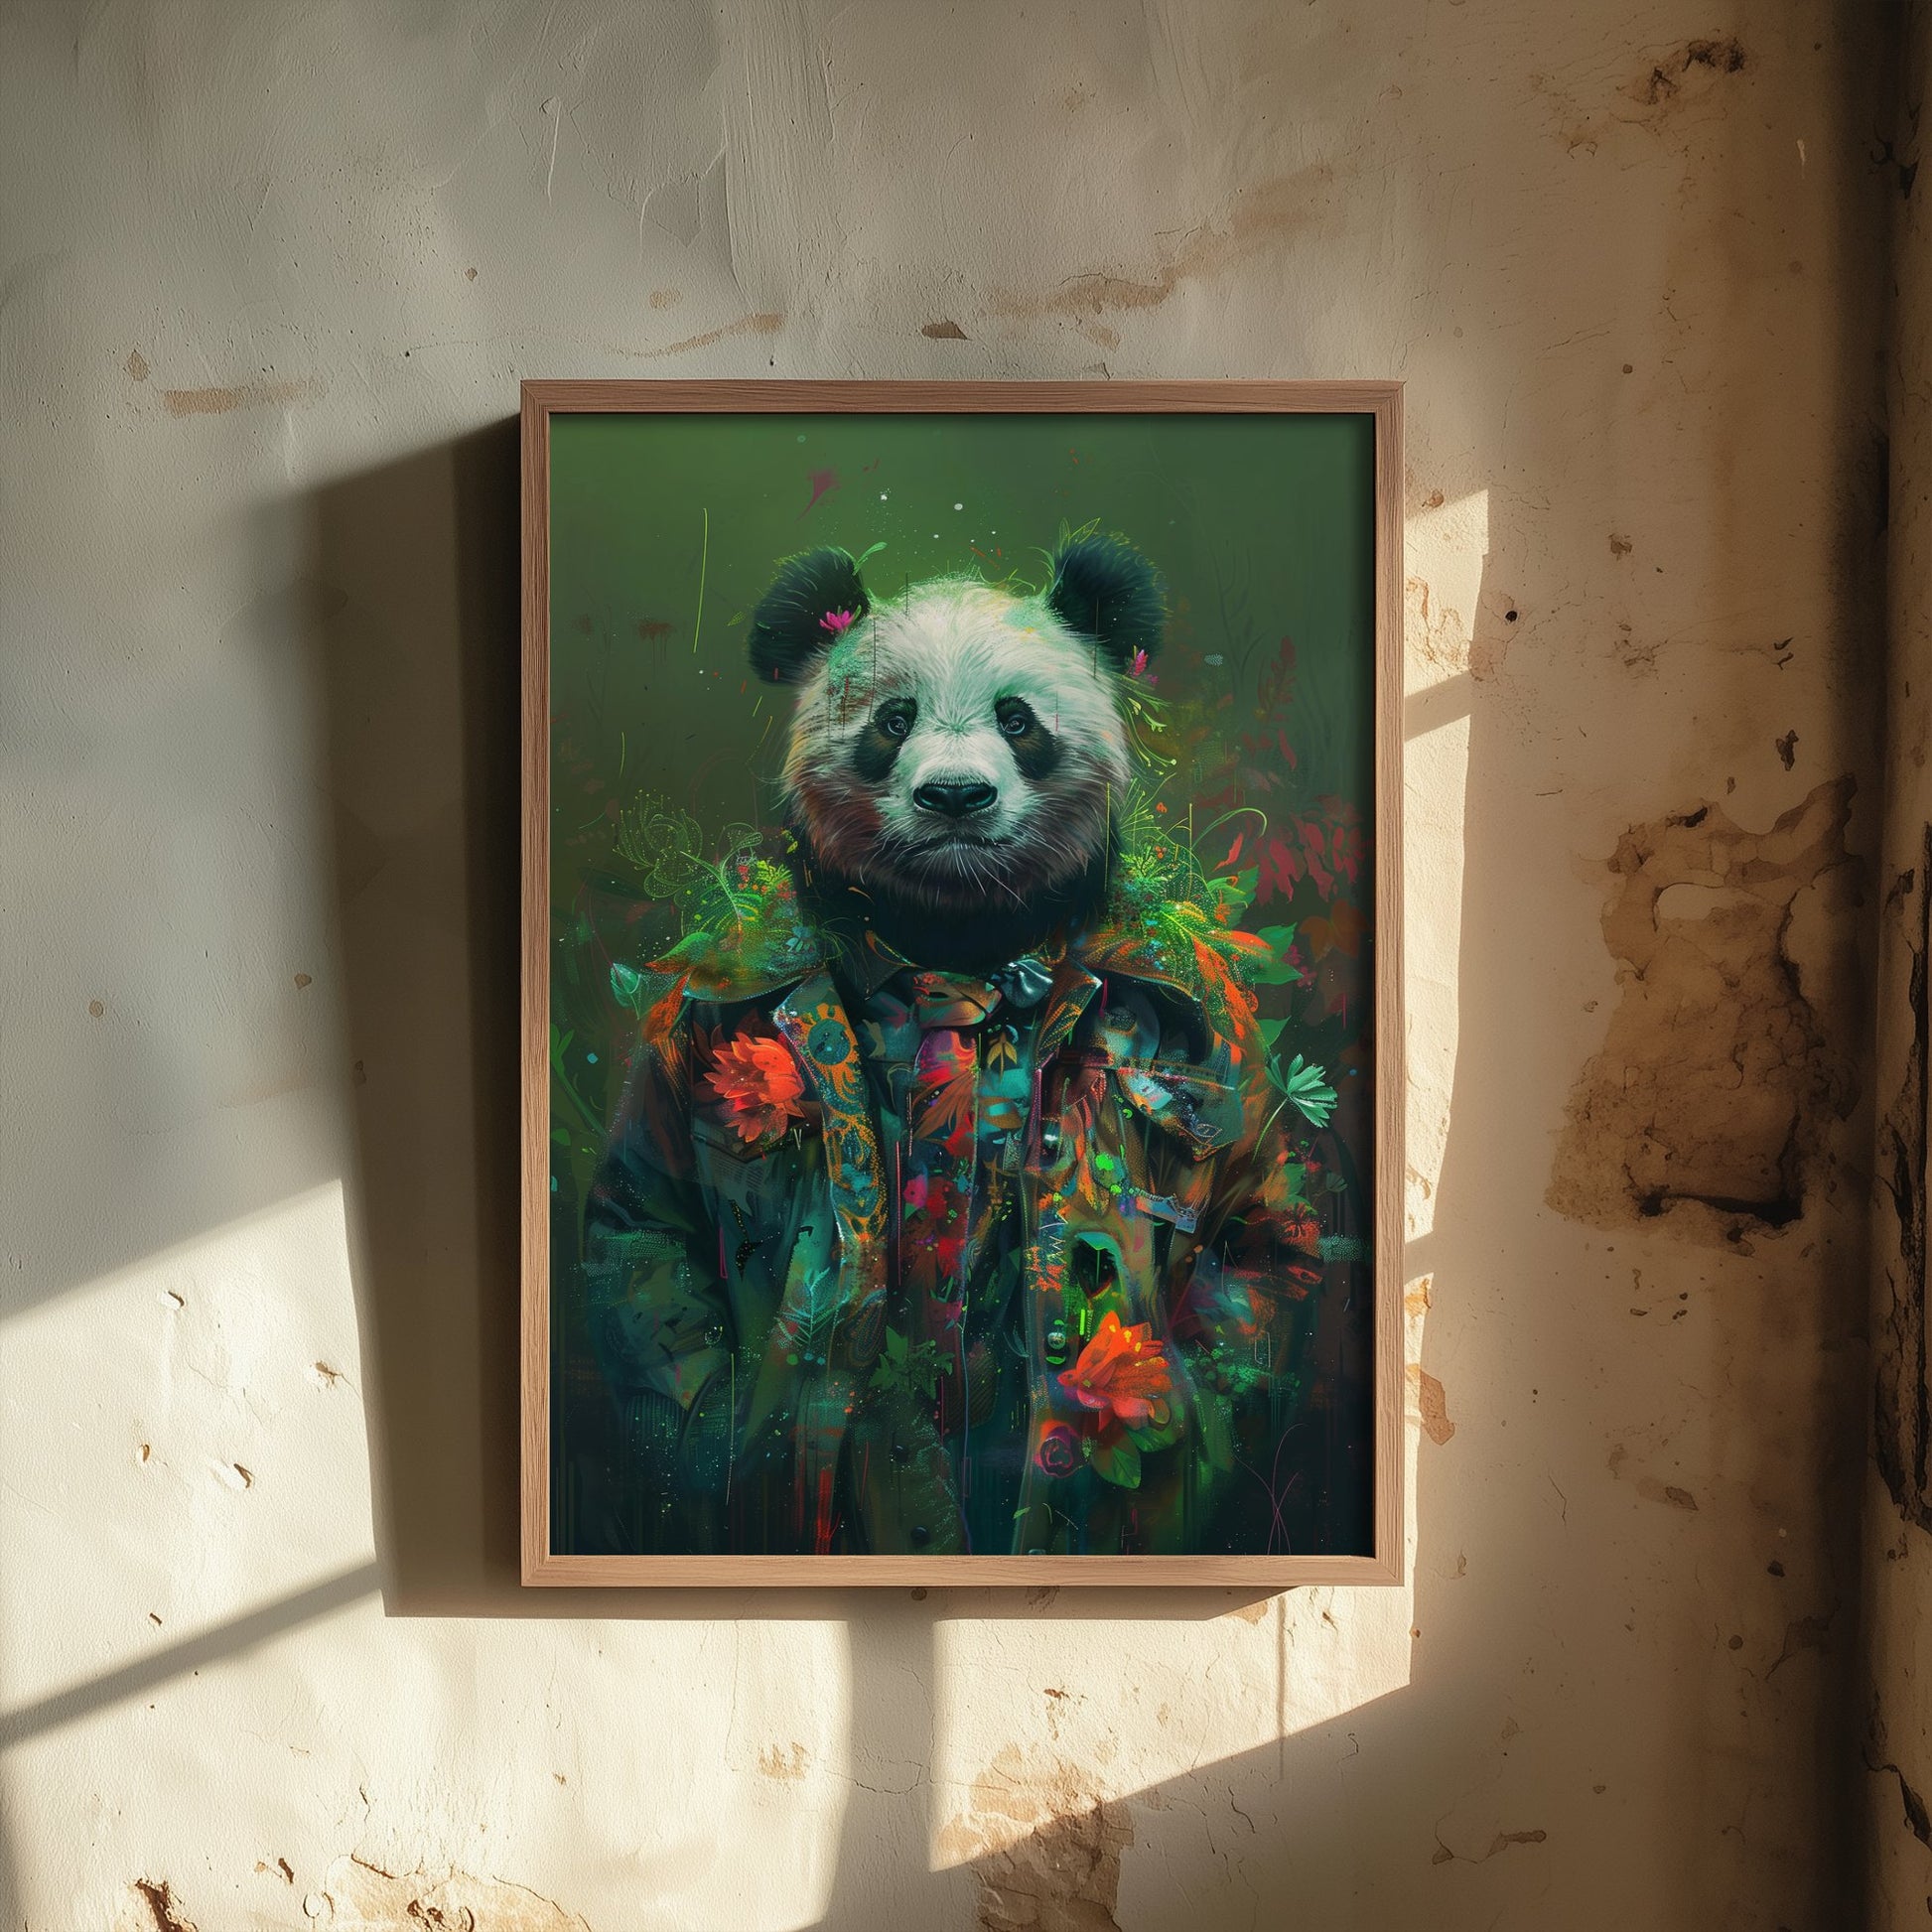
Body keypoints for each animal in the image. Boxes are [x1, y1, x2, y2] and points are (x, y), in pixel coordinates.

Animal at [580, 534, 1330, 1561]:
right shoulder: (693, 1030)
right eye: (892, 721)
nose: (956, 797)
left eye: (1018, 719)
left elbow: (1255, 1225)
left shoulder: (1217, 1024)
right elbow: (647, 1214)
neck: (955, 938)